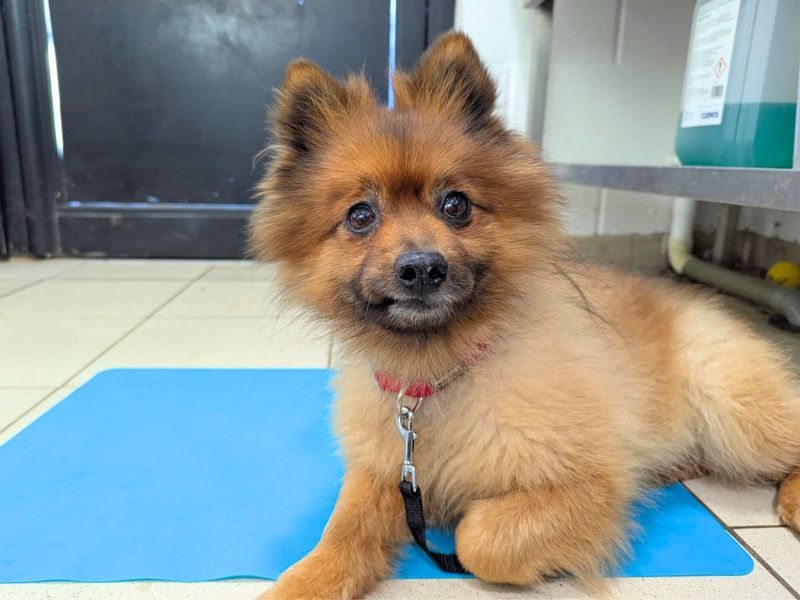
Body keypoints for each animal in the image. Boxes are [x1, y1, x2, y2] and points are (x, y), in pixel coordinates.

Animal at [250, 32, 800, 600]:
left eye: (455, 205)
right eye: (360, 216)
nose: (422, 268)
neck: (437, 375)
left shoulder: (590, 483)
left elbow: (481, 539)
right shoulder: (385, 471)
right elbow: (342, 533)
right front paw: (302, 582)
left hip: (736, 408)